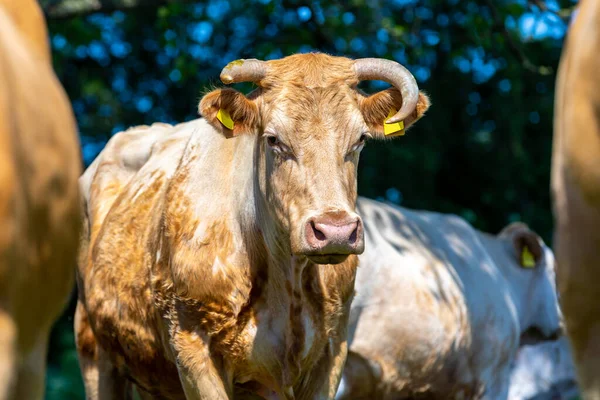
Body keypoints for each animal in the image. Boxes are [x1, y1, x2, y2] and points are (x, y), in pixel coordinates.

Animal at [76, 54, 432, 400]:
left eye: (360, 139)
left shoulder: (333, 351)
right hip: (92, 348)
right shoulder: (191, 346)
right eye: (273, 139)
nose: (335, 231)